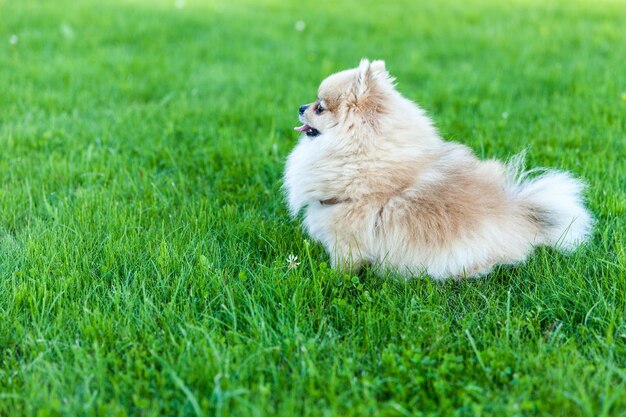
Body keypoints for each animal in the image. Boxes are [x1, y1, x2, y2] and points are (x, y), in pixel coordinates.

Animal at [282, 58, 588, 280]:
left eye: (320, 108)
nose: (300, 106)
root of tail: (521, 213)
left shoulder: (346, 239)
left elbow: (343, 266)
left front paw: (332, 279)